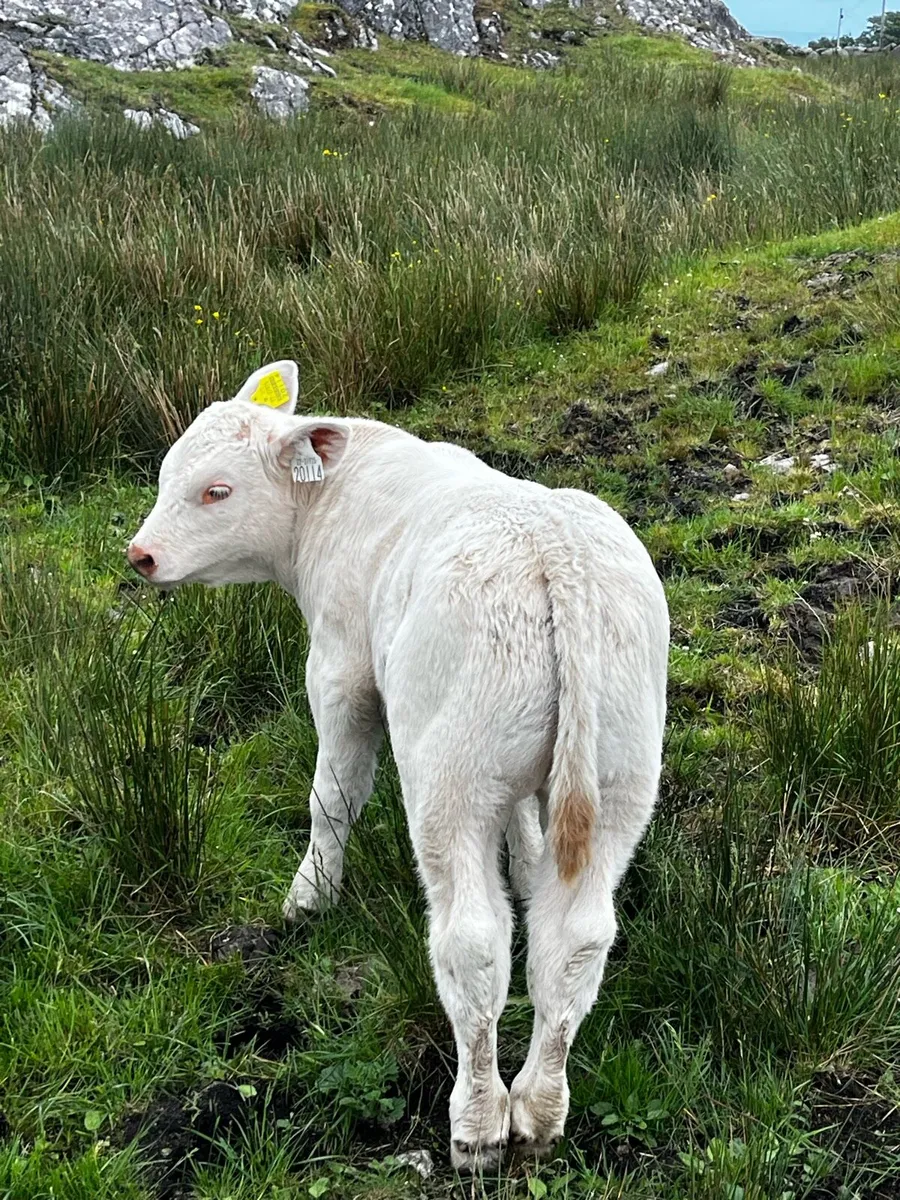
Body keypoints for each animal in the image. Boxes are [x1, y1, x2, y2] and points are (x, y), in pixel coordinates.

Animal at [127, 360, 669, 1170]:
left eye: (216, 491)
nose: (141, 555)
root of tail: (554, 554)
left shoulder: (340, 669)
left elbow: (333, 798)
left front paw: (309, 897)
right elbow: (524, 829)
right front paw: (526, 863)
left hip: (450, 773)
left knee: (472, 941)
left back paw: (478, 1122)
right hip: (618, 771)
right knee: (574, 939)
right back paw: (540, 1110)